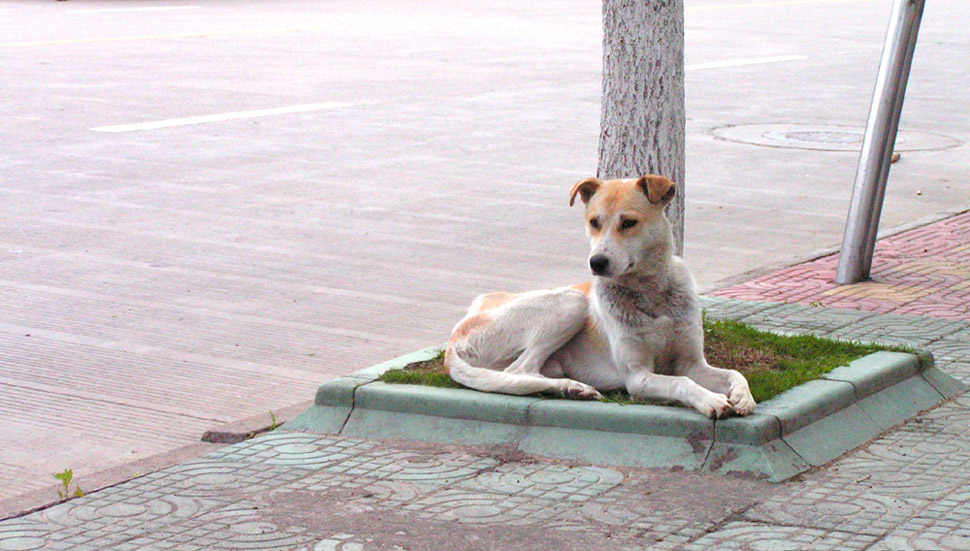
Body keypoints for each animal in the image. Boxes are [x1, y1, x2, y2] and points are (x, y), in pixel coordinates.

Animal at [440, 176, 756, 418]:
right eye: (594, 222)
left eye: (628, 222)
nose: (597, 263)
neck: (649, 294)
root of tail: (454, 338)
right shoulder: (638, 377)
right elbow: (681, 382)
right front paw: (709, 399)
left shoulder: (693, 363)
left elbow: (732, 373)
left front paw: (743, 395)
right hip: (571, 301)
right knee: (519, 370)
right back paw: (570, 387)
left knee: (525, 373)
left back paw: (571, 387)